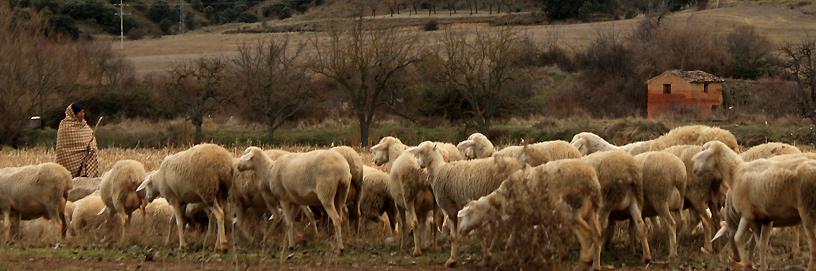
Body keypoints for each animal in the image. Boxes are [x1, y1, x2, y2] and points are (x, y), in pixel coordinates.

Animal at [692, 142, 816, 271]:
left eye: (703, 150)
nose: (692, 166)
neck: (735, 172)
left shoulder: (746, 214)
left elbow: (738, 238)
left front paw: (746, 264)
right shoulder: (763, 220)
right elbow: (761, 244)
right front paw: (762, 266)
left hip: (807, 210)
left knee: (813, 246)